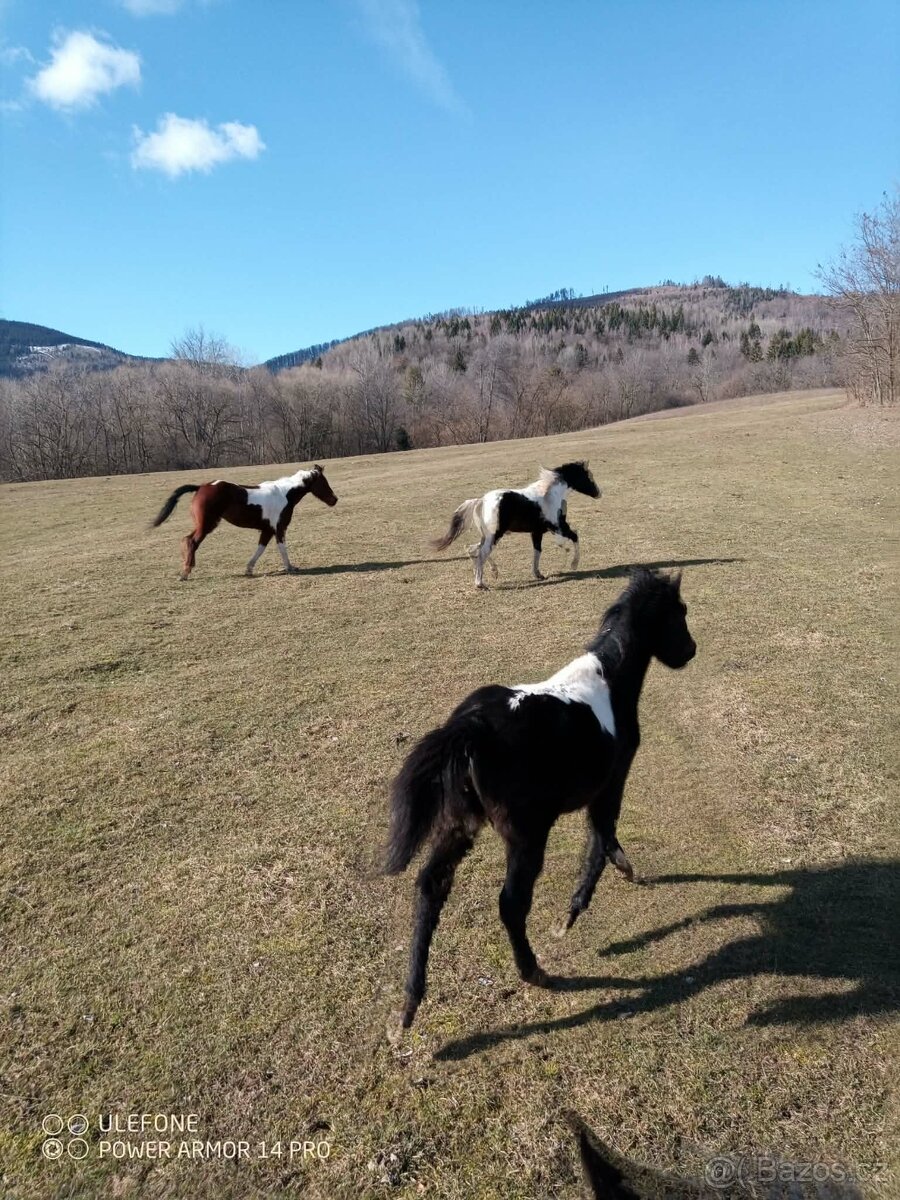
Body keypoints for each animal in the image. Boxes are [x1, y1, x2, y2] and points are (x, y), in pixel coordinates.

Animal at [151, 464, 338, 579]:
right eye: (323, 482)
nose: (334, 500)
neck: (284, 494)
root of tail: (201, 487)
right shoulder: (279, 528)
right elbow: (282, 549)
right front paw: (290, 568)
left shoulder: (267, 530)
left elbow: (260, 549)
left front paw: (249, 569)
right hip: (207, 524)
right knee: (191, 541)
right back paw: (185, 573)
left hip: (203, 524)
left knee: (187, 539)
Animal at [385, 567, 696, 1028]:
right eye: (680, 612)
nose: (691, 650)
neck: (609, 681)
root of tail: (470, 729)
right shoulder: (612, 780)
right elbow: (601, 838)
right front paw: (573, 912)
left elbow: (602, 838)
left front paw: (618, 875)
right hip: (527, 836)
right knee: (511, 904)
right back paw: (535, 971)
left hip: (458, 826)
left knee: (430, 888)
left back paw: (409, 1004)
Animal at [431, 461, 601, 588]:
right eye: (588, 476)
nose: (599, 493)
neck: (550, 495)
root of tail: (481, 501)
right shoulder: (558, 526)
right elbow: (574, 536)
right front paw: (573, 564)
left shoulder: (537, 532)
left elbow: (538, 550)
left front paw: (538, 574)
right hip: (494, 535)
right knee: (482, 552)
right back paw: (480, 583)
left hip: (487, 536)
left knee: (473, 549)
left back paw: (492, 573)